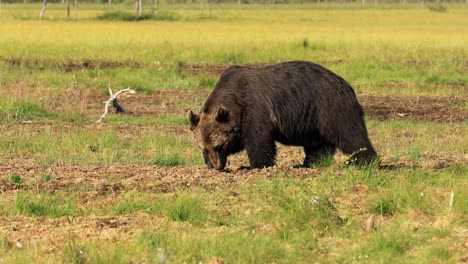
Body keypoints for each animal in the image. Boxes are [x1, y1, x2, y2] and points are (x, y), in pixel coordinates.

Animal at [188, 60, 378, 170]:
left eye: (219, 146)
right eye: (205, 148)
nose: (217, 166)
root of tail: (346, 84)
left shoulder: (255, 110)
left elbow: (259, 142)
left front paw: (257, 166)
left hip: (330, 106)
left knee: (350, 135)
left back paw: (366, 162)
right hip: (314, 122)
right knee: (319, 145)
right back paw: (311, 163)